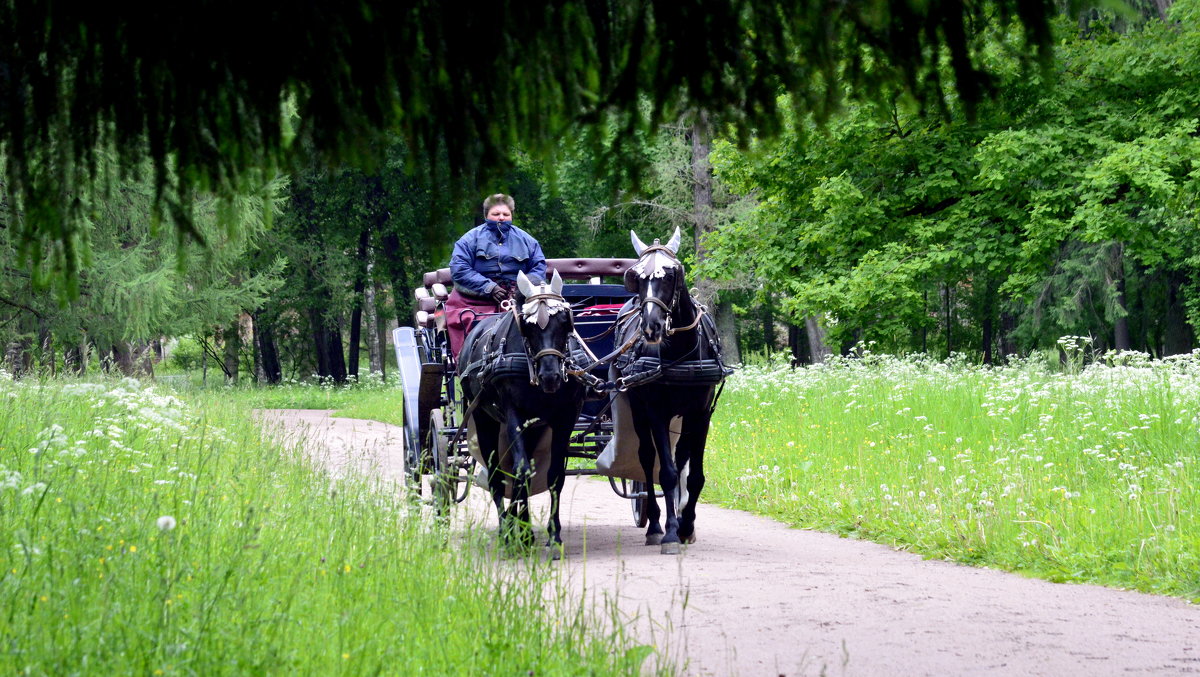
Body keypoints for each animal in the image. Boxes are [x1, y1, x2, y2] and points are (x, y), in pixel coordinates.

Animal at [456, 270, 583, 549]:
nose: (550, 376)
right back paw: (507, 530)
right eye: (528, 325)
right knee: (496, 475)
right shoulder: (514, 414)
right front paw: (521, 534)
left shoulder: (565, 418)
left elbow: (554, 474)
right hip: (484, 419)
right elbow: (522, 470)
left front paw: (553, 535)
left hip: (534, 429)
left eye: (565, 322)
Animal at [614, 226, 724, 554]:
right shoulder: (656, 412)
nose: (651, 326)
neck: (681, 350)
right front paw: (672, 532)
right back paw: (653, 524)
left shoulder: (701, 413)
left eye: (672, 274)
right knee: (647, 458)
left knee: (680, 456)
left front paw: (687, 526)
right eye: (636, 277)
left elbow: (694, 475)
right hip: (637, 410)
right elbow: (668, 473)